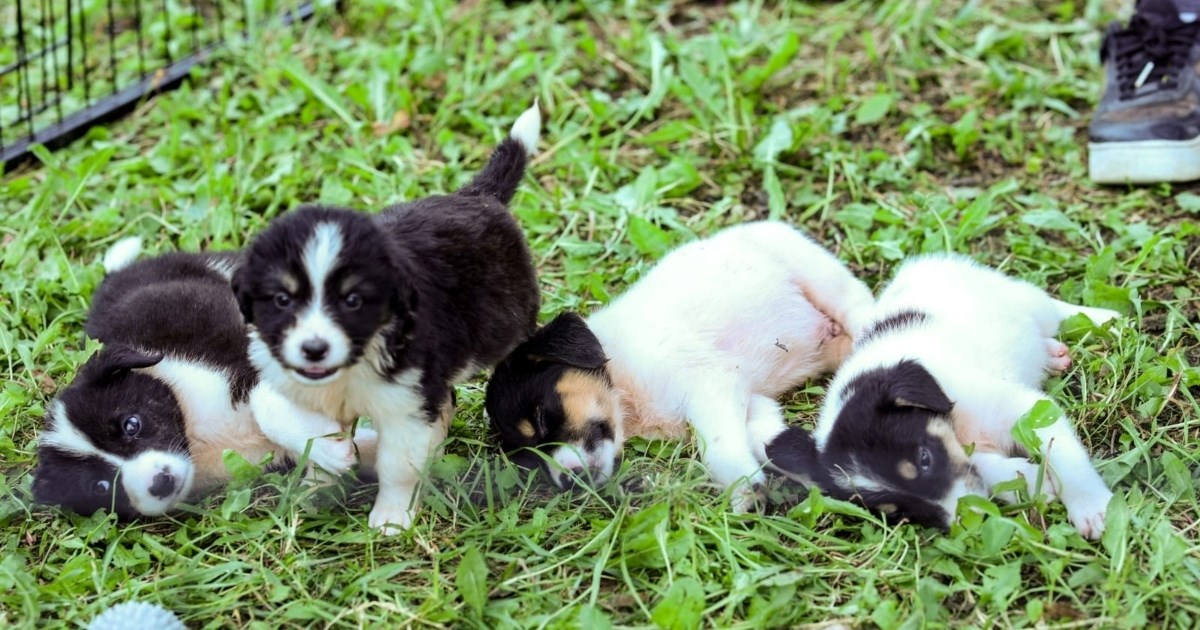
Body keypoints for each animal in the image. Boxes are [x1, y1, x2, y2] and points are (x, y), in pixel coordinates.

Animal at [32, 241, 376, 516]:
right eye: (101, 487)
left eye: (132, 425)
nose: (160, 483)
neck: (193, 432)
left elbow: (266, 402)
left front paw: (328, 448)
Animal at [231, 102, 542, 530]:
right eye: (282, 299)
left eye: (353, 300)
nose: (314, 349)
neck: (351, 367)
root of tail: (476, 195)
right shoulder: (279, 374)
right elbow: (272, 412)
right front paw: (320, 475)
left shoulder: (407, 401)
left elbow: (398, 464)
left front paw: (392, 518)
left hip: (508, 323)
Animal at [763, 253, 1118, 537]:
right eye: (896, 511)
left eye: (924, 459)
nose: (969, 522)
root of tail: (921, 267)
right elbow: (983, 465)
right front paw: (1032, 481)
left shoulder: (1025, 409)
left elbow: (1066, 458)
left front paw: (1093, 507)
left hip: (1017, 298)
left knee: (1054, 308)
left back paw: (1107, 319)